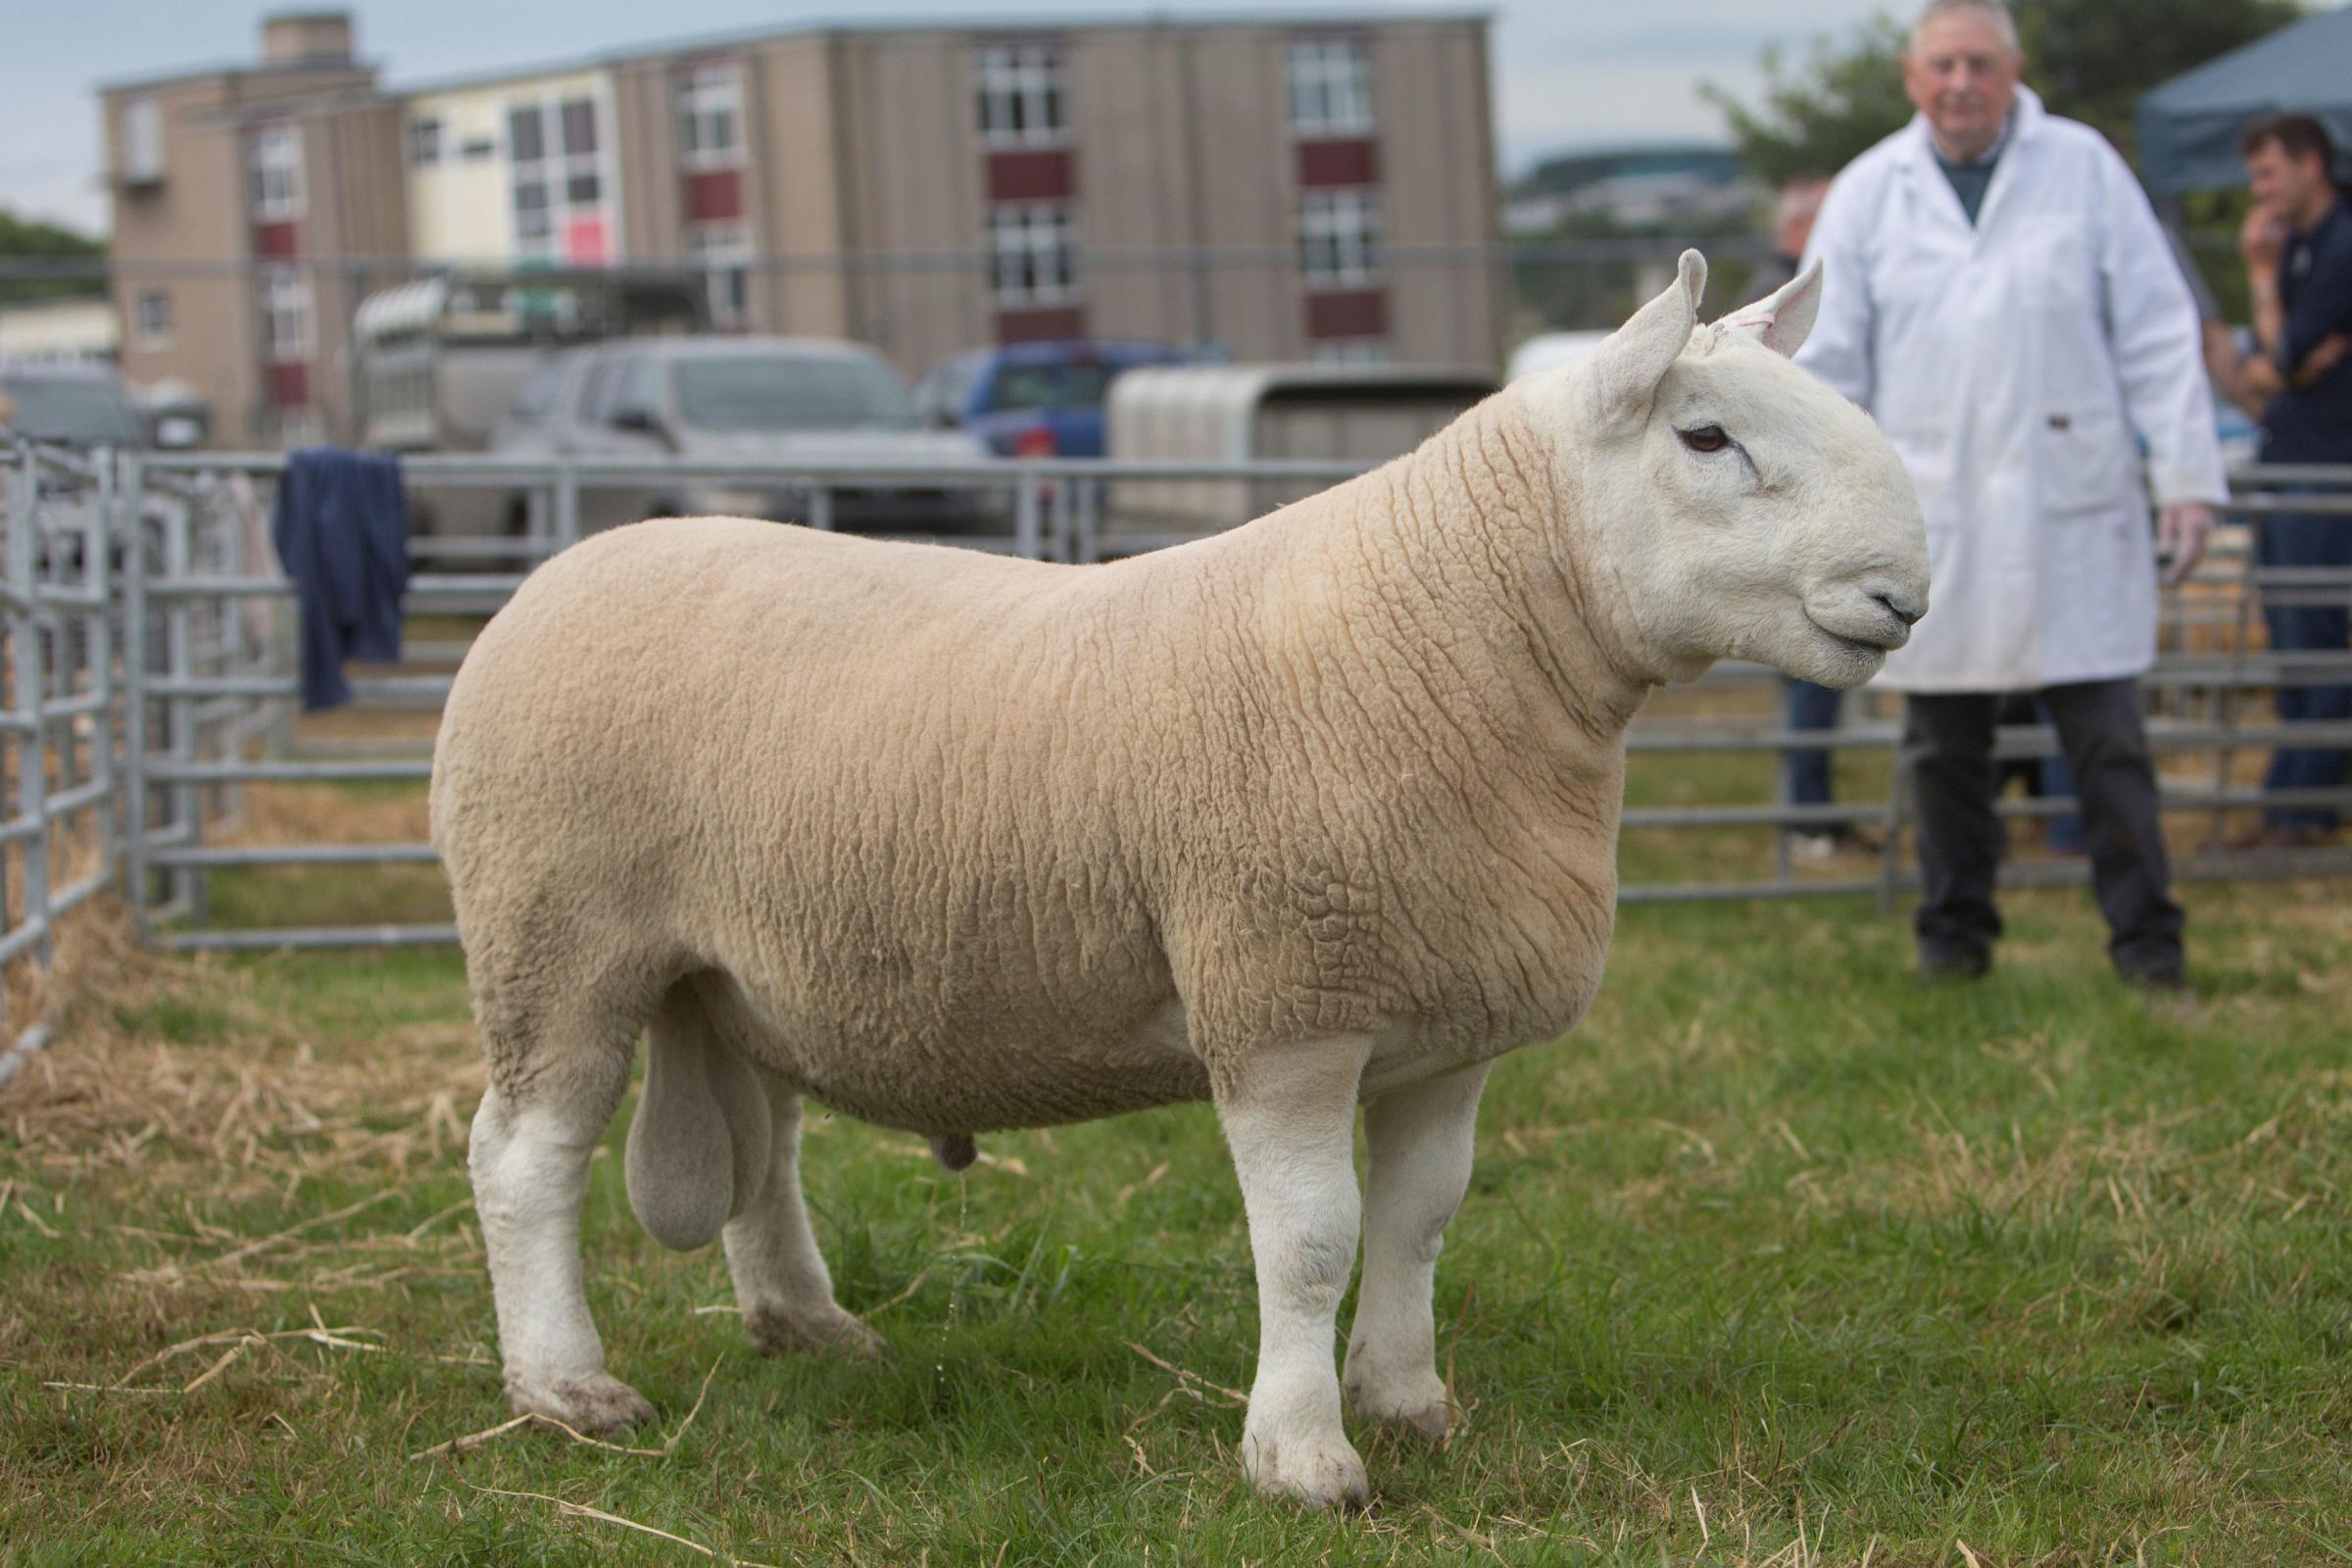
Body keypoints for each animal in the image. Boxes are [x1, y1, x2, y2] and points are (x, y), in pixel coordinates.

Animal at [427, 255, 1929, 1504]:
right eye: (1705, 437)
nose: (1905, 595)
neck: (1452, 629)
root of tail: (557, 570)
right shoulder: (1285, 1002)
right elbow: (1314, 1241)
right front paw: (1305, 1458)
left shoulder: (1450, 1027)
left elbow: (1421, 1223)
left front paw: (1409, 1403)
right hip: (553, 932)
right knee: (523, 1158)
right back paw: (565, 1387)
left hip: (737, 964)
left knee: (770, 1148)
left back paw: (811, 1326)